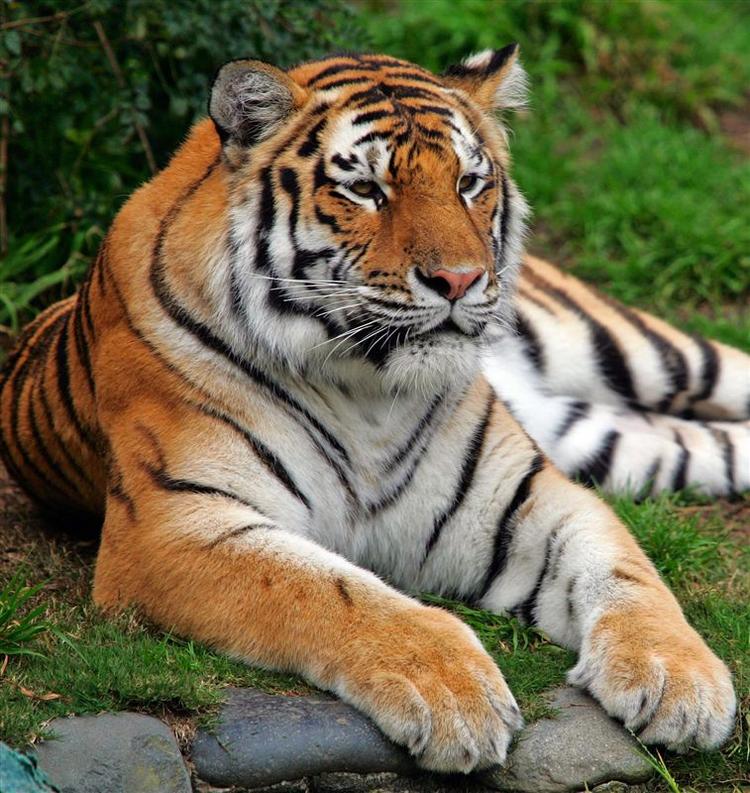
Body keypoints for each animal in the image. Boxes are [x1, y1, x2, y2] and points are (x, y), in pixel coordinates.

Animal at [1, 46, 746, 773]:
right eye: (365, 189)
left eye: (469, 182)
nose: (460, 280)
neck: (367, 390)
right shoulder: (172, 526)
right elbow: (331, 591)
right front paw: (454, 692)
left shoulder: (532, 497)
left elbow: (629, 576)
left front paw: (681, 678)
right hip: (619, 443)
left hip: (629, 347)